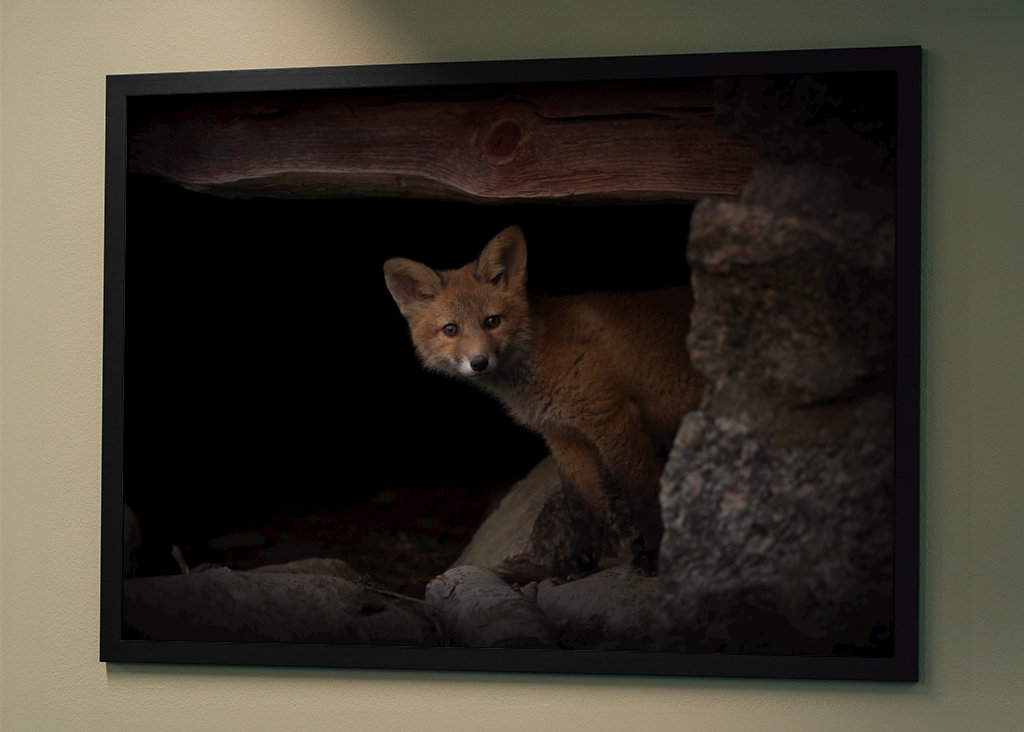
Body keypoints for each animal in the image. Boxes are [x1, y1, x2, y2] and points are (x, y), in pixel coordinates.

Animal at [383, 225, 705, 575]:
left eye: (492, 321)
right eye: (451, 329)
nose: (479, 362)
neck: (540, 360)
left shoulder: (613, 420)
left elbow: (642, 493)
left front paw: (655, 553)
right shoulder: (563, 437)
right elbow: (582, 507)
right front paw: (579, 561)